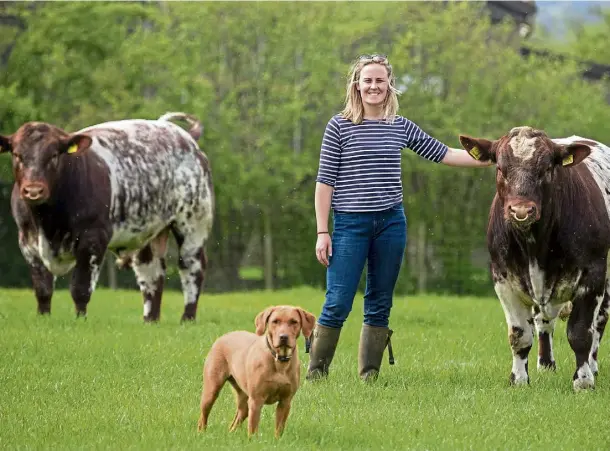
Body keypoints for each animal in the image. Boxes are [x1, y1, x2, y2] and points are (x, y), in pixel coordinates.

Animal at [0, 111, 214, 324]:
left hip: (193, 224)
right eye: (17, 154)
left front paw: (80, 321)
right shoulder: (27, 241)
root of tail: (185, 137)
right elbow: (43, 289)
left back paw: (187, 319)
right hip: (148, 233)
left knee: (191, 267)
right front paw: (43, 318)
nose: (33, 190)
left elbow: (80, 288)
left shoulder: (93, 238)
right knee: (152, 275)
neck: (48, 222)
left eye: (54, 155)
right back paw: (150, 320)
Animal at [198, 306, 316, 440]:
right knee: (203, 416)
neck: (279, 361)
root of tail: (224, 336)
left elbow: (279, 428)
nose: (283, 337)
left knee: (235, 421)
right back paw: (201, 434)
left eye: (294, 322)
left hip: (244, 400)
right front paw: (253, 441)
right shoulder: (256, 400)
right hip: (211, 390)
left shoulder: (285, 401)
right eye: (275, 321)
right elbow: (253, 428)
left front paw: (277, 441)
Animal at [458, 126, 608, 392]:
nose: (521, 210)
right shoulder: (503, 279)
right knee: (543, 321)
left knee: (599, 321)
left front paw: (583, 381)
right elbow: (519, 335)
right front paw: (518, 379)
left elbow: (581, 332)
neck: (535, 246)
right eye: (500, 168)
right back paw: (546, 364)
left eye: (547, 169)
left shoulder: (593, 275)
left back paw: (592, 366)